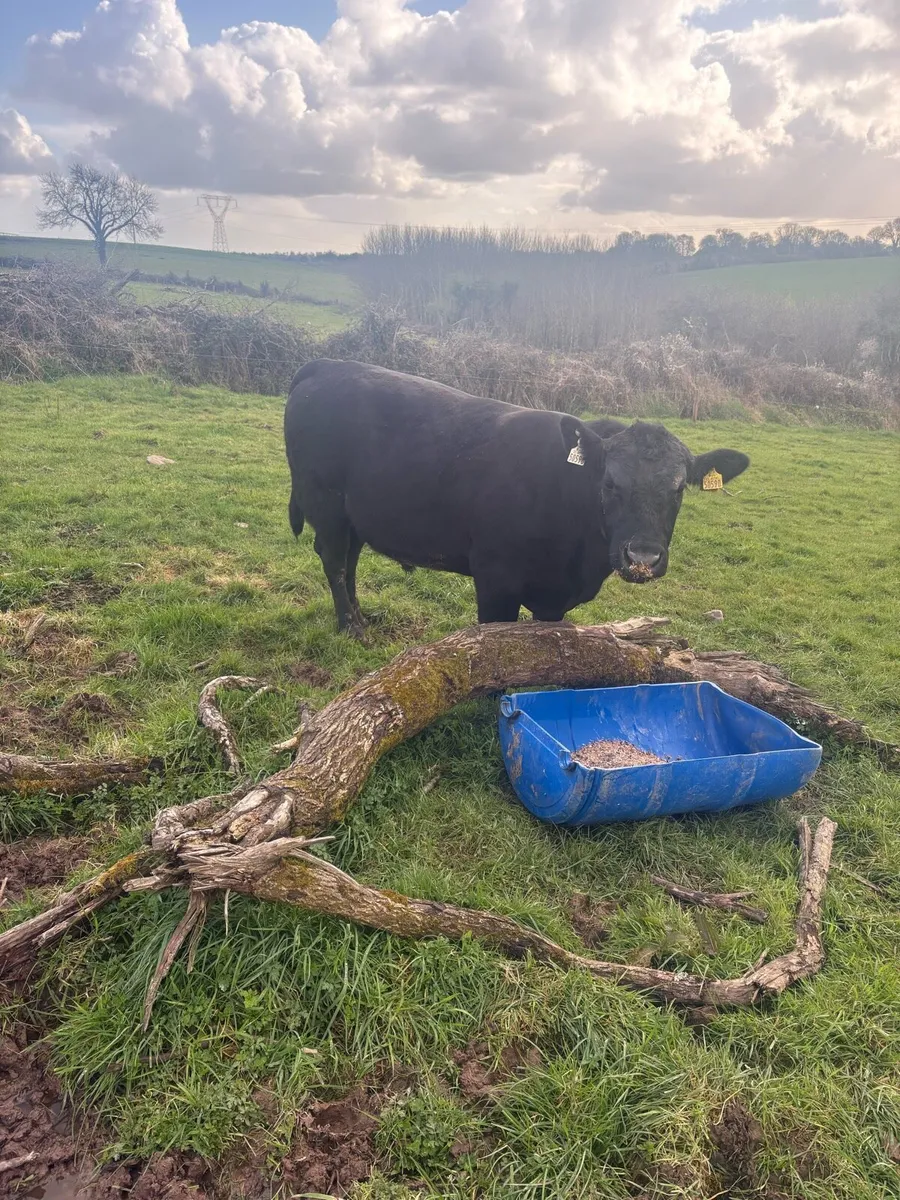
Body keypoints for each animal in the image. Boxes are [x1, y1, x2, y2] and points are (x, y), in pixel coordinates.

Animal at [284, 359, 749, 637]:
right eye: (609, 483)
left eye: (678, 488)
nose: (643, 558)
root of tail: (328, 365)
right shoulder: (494, 579)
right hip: (325, 504)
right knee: (333, 562)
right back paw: (351, 627)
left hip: (354, 515)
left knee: (349, 562)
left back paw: (361, 617)